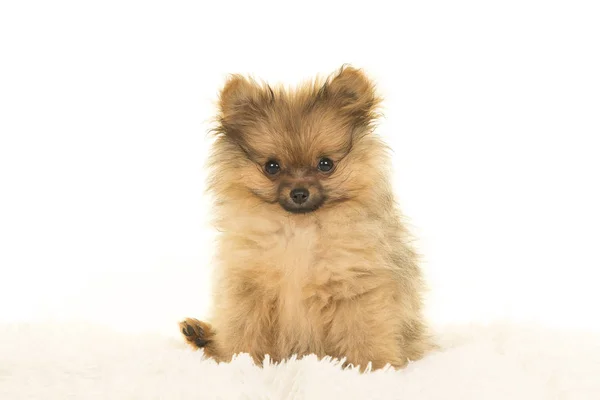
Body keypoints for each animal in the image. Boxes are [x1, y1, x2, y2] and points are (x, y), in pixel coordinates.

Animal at [180, 65, 434, 368]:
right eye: (272, 167)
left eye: (325, 164)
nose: (299, 192)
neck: (298, 230)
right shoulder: (250, 289)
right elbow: (244, 330)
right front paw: (239, 361)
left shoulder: (356, 288)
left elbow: (364, 332)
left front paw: (371, 367)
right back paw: (198, 334)